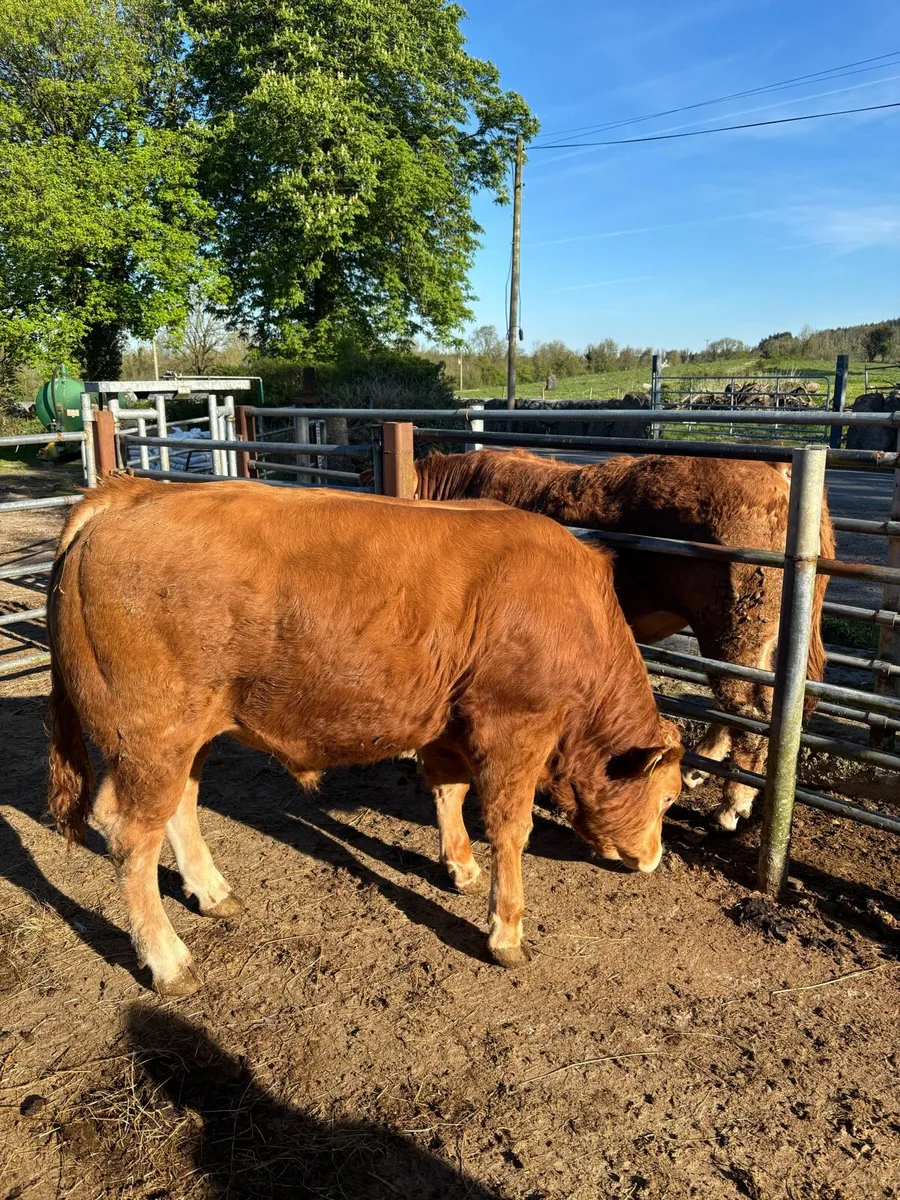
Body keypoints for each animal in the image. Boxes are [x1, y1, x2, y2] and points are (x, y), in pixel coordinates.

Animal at [47, 475, 683, 996]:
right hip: (149, 737)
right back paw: (168, 959)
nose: (654, 860)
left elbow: (448, 791)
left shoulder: (448, 721)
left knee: (179, 806)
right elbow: (509, 828)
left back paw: (213, 893)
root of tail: (130, 494)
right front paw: (506, 933)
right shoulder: (515, 728)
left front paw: (461, 868)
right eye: (668, 799)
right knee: (131, 833)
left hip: (189, 734)